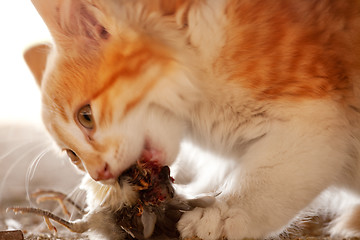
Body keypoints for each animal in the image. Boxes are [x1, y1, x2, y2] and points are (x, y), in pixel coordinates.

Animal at [23, 0, 360, 239]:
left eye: (86, 117)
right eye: (72, 156)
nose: (99, 174)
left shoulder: (316, 118)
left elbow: (267, 178)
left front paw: (224, 214)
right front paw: (202, 196)